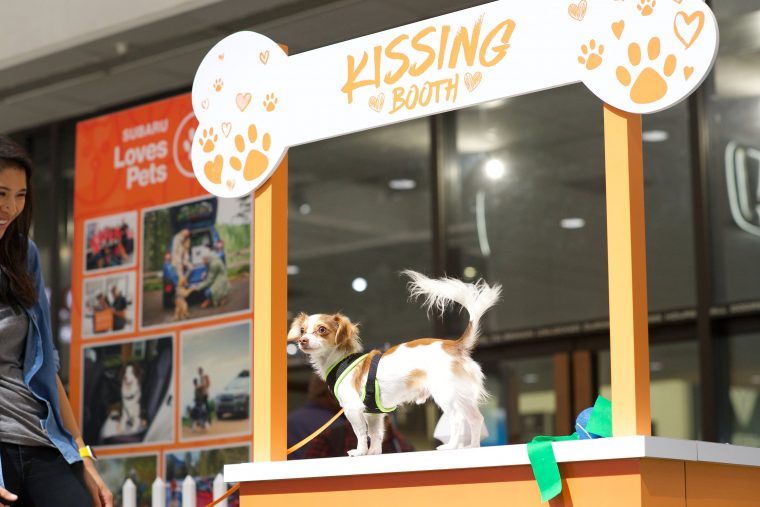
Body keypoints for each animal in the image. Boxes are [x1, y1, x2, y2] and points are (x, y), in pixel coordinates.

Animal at [286, 272, 498, 458]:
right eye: (303, 330)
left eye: (322, 330)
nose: (302, 340)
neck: (341, 361)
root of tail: (454, 345)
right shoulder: (373, 413)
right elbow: (375, 434)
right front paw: (374, 452)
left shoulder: (353, 408)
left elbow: (361, 433)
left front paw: (360, 452)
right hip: (464, 396)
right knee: (475, 418)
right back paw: (473, 446)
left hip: (445, 394)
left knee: (458, 420)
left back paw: (451, 446)